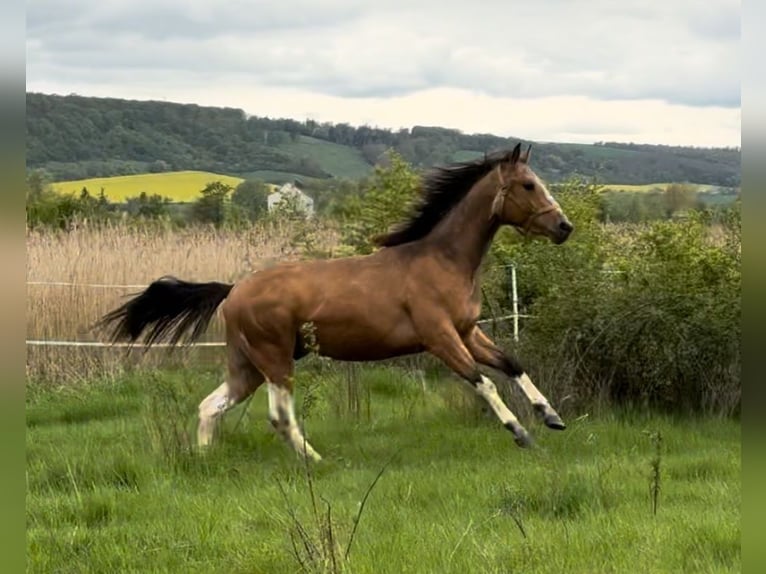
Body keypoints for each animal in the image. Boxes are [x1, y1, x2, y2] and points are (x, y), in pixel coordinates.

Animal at [97, 144, 576, 464]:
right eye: (529, 185)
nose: (564, 227)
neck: (443, 260)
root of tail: (233, 290)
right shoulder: (440, 338)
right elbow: (484, 382)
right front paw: (521, 433)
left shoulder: (468, 332)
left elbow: (511, 364)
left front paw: (552, 416)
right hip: (274, 360)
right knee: (278, 416)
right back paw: (315, 460)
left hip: (246, 366)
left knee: (210, 406)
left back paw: (204, 459)